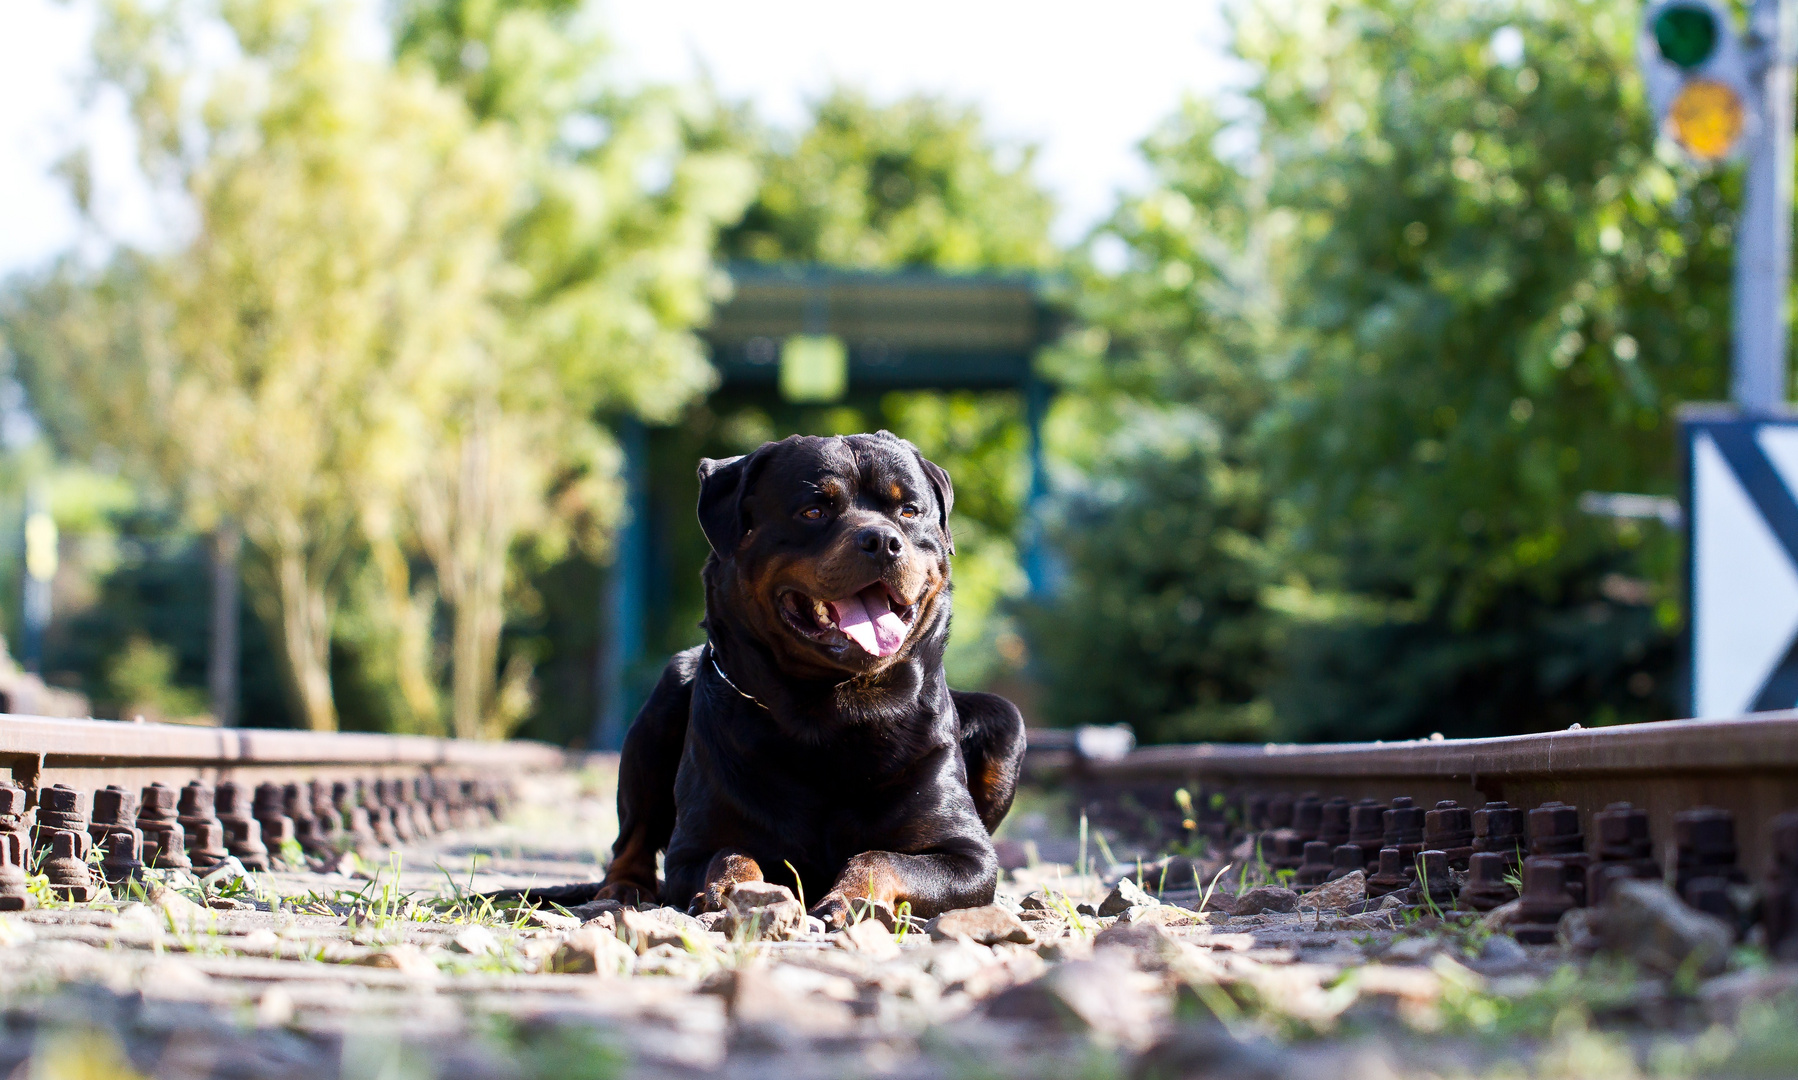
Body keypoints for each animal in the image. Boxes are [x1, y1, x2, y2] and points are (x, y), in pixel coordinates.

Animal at [532, 429, 1021, 927]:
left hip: (1006, 721)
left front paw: (850, 897)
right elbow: (728, 852)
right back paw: (622, 889)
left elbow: (882, 857)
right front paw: (739, 888)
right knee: (630, 838)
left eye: (908, 511)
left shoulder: (969, 857)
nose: (883, 540)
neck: (833, 710)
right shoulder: (691, 850)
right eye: (813, 511)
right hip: (662, 703)